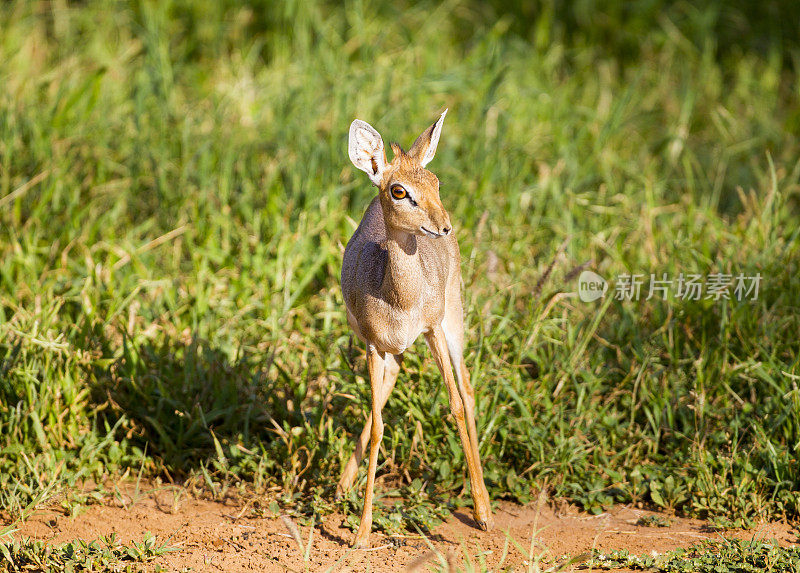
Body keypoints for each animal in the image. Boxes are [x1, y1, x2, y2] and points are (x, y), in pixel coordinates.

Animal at [340, 110, 494, 544]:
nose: (444, 225)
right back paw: (342, 484)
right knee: (391, 381)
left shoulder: (432, 330)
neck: (400, 300)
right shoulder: (372, 345)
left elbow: (455, 404)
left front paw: (482, 514)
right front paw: (361, 532)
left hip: (455, 320)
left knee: (468, 390)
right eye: (398, 190)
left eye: (435, 181)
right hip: (385, 347)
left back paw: (485, 506)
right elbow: (378, 425)